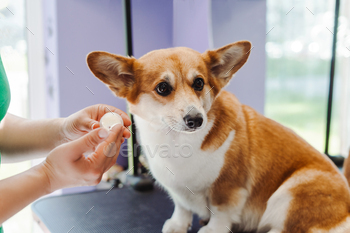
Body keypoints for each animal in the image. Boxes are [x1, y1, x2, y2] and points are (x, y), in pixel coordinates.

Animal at [86, 41, 350, 233]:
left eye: (199, 83)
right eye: (162, 88)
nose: (196, 119)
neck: (177, 143)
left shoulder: (229, 187)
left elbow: (221, 211)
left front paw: (212, 229)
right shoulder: (177, 191)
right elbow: (182, 207)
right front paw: (178, 225)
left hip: (293, 190)